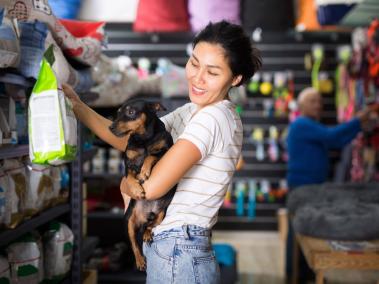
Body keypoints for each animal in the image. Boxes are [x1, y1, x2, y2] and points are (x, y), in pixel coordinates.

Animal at [109, 97, 176, 270]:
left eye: (131, 112)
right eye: (118, 113)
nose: (110, 127)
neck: (143, 139)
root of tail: (145, 218)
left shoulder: (164, 152)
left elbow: (150, 156)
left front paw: (145, 172)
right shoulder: (128, 164)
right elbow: (129, 177)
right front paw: (137, 189)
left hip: (162, 213)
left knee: (151, 225)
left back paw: (147, 234)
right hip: (129, 222)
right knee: (134, 243)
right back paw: (139, 261)